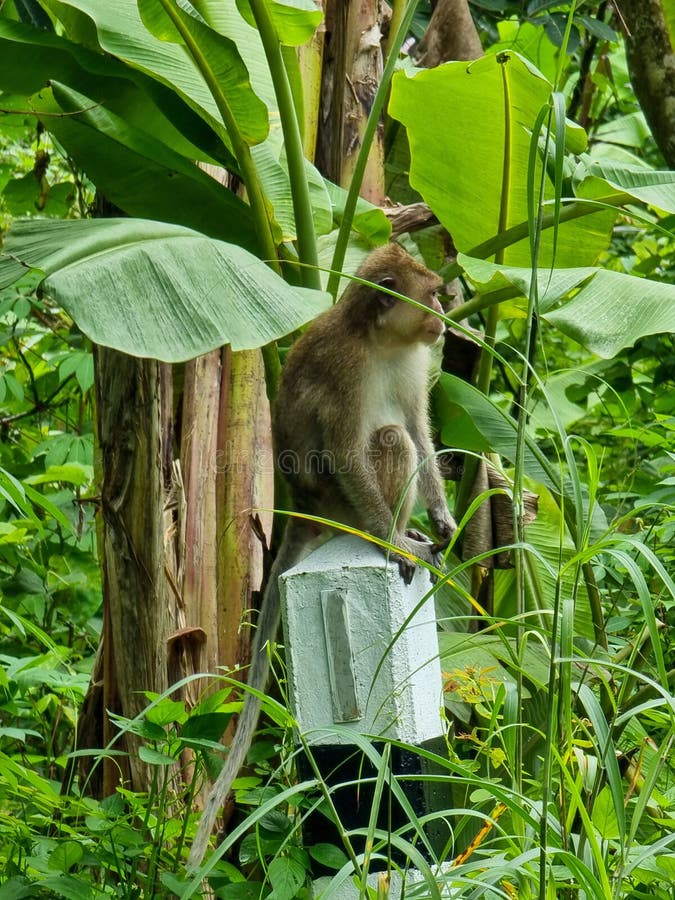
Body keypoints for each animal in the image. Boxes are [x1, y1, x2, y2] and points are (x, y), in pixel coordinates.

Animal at [189, 243, 456, 868]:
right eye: (431, 293)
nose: (444, 315)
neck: (381, 341)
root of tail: (304, 507)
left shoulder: (415, 362)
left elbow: (421, 429)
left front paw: (444, 520)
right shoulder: (346, 367)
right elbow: (351, 445)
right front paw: (393, 539)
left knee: (402, 436)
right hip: (338, 499)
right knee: (387, 441)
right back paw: (392, 535)